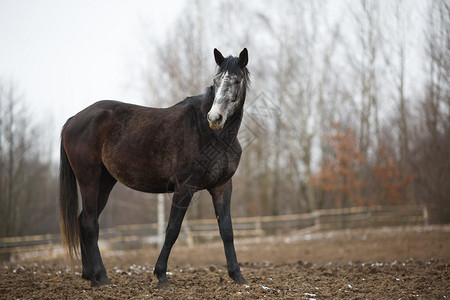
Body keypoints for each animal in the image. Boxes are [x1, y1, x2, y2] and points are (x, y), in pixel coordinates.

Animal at [57, 48, 250, 288]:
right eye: (215, 81)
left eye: (236, 80)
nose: (215, 118)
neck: (211, 135)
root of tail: (74, 119)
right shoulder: (184, 187)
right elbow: (172, 230)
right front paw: (161, 275)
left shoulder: (222, 187)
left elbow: (227, 230)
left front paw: (237, 275)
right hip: (89, 180)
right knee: (90, 223)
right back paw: (101, 277)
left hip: (105, 182)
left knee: (83, 220)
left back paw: (89, 275)